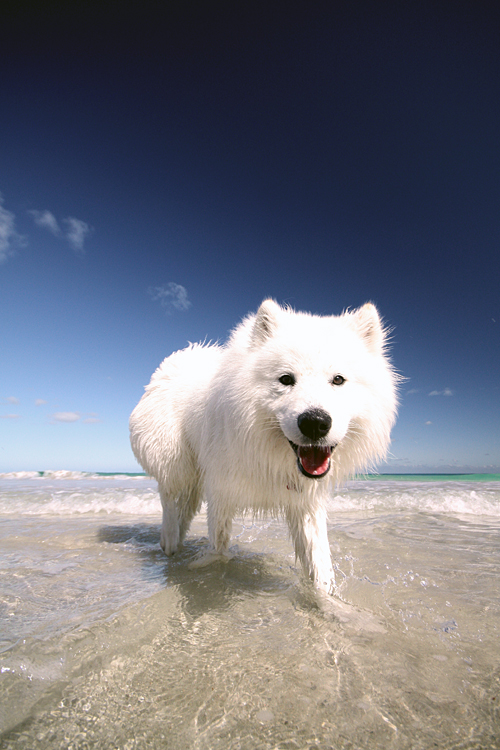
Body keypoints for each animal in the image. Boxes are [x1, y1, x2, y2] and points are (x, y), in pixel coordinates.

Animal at [129, 300, 398, 592]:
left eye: (338, 379)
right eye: (286, 379)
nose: (315, 423)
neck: (268, 454)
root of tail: (181, 357)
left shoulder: (305, 503)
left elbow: (320, 568)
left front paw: (327, 599)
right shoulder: (221, 487)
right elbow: (218, 545)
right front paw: (209, 572)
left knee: (186, 504)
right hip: (173, 459)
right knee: (167, 494)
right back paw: (169, 540)